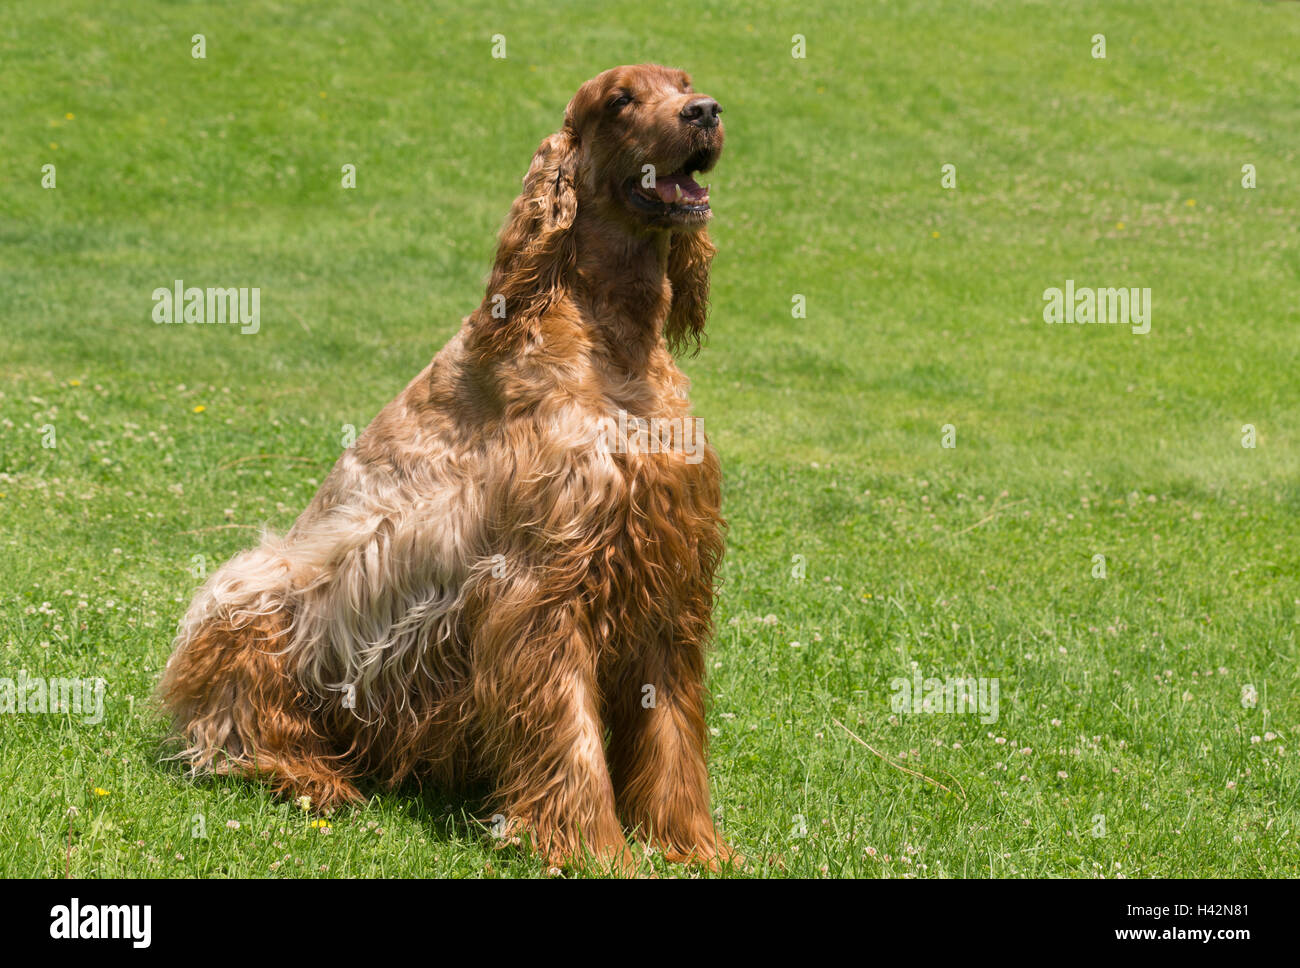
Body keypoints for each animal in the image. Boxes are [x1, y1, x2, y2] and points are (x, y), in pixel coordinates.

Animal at [159, 64, 733, 873]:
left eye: (683, 81)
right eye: (622, 99)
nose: (705, 110)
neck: (610, 340)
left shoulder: (667, 569)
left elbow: (673, 737)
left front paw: (693, 847)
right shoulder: (541, 586)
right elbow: (573, 738)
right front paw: (594, 850)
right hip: (257, 589)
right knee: (237, 733)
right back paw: (315, 780)